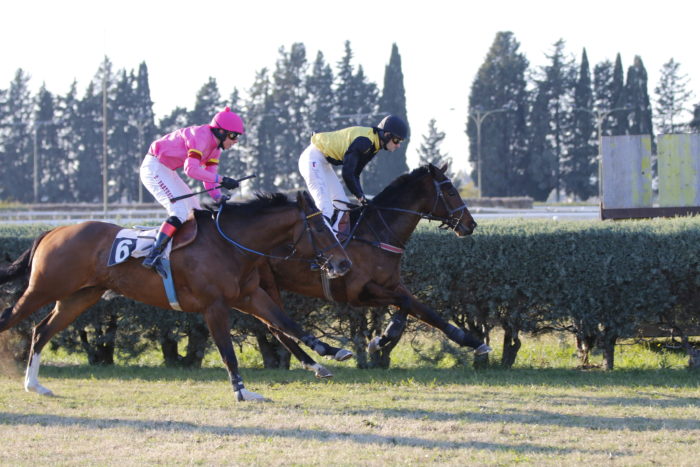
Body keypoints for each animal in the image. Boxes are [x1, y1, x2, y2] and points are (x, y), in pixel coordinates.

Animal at [0, 192, 350, 400]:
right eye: (321, 228)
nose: (343, 263)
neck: (228, 243)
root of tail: (53, 231)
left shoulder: (250, 296)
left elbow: (287, 323)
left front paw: (330, 353)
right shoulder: (214, 306)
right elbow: (228, 351)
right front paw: (242, 392)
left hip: (79, 297)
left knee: (41, 329)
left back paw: (35, 384)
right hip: (44, 288)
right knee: (10, 318)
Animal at [258, 163, 492, 378]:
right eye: (451, 191)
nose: (470, 224)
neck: (376, 235)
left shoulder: (393, 284)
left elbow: (424, 310)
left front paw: (472, 341)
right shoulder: (358, 293)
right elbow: (405, 304)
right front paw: (382, 338)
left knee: (275, 326)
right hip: (264, 283)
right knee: (276, 326)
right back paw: (320, 361)